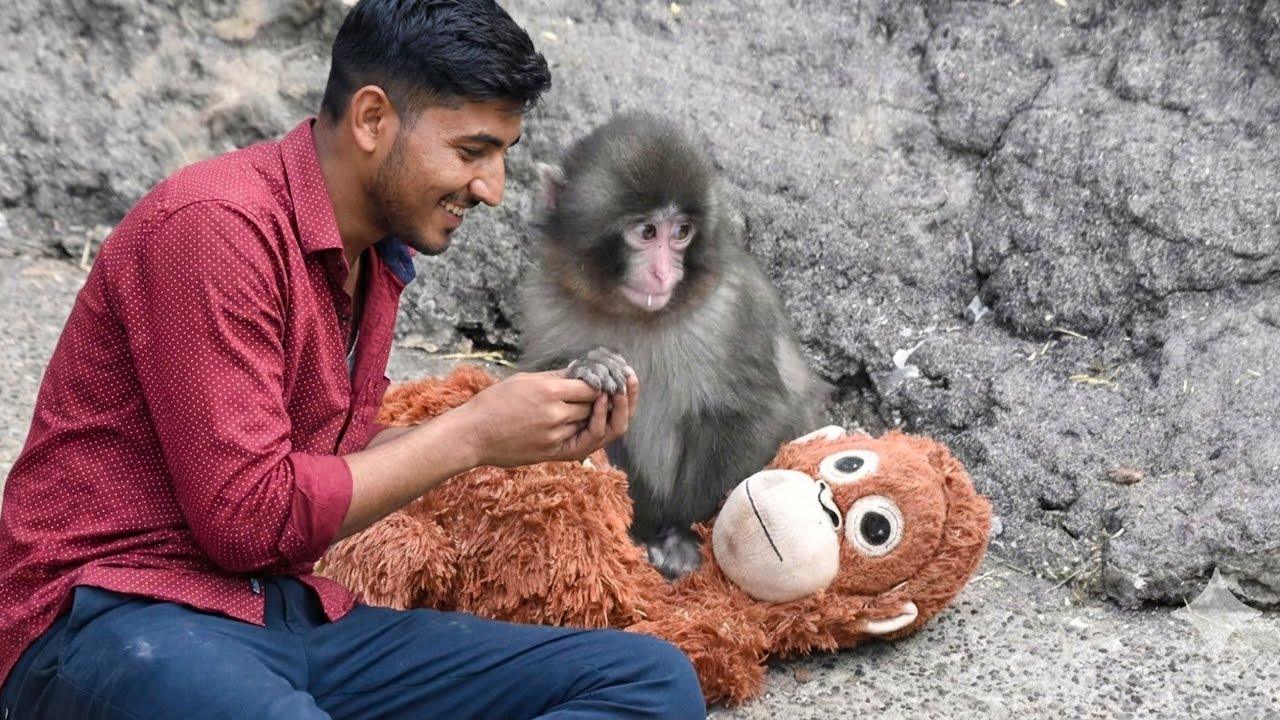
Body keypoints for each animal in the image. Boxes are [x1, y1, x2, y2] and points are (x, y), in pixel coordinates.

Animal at [516, 111, 831, 579]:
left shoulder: (732, 307)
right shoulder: (545, 299)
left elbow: (752, 412)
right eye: (647, 232)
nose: (664, 273)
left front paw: (685, 538)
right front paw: (589, 367)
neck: (636, 314)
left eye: (681, 232)